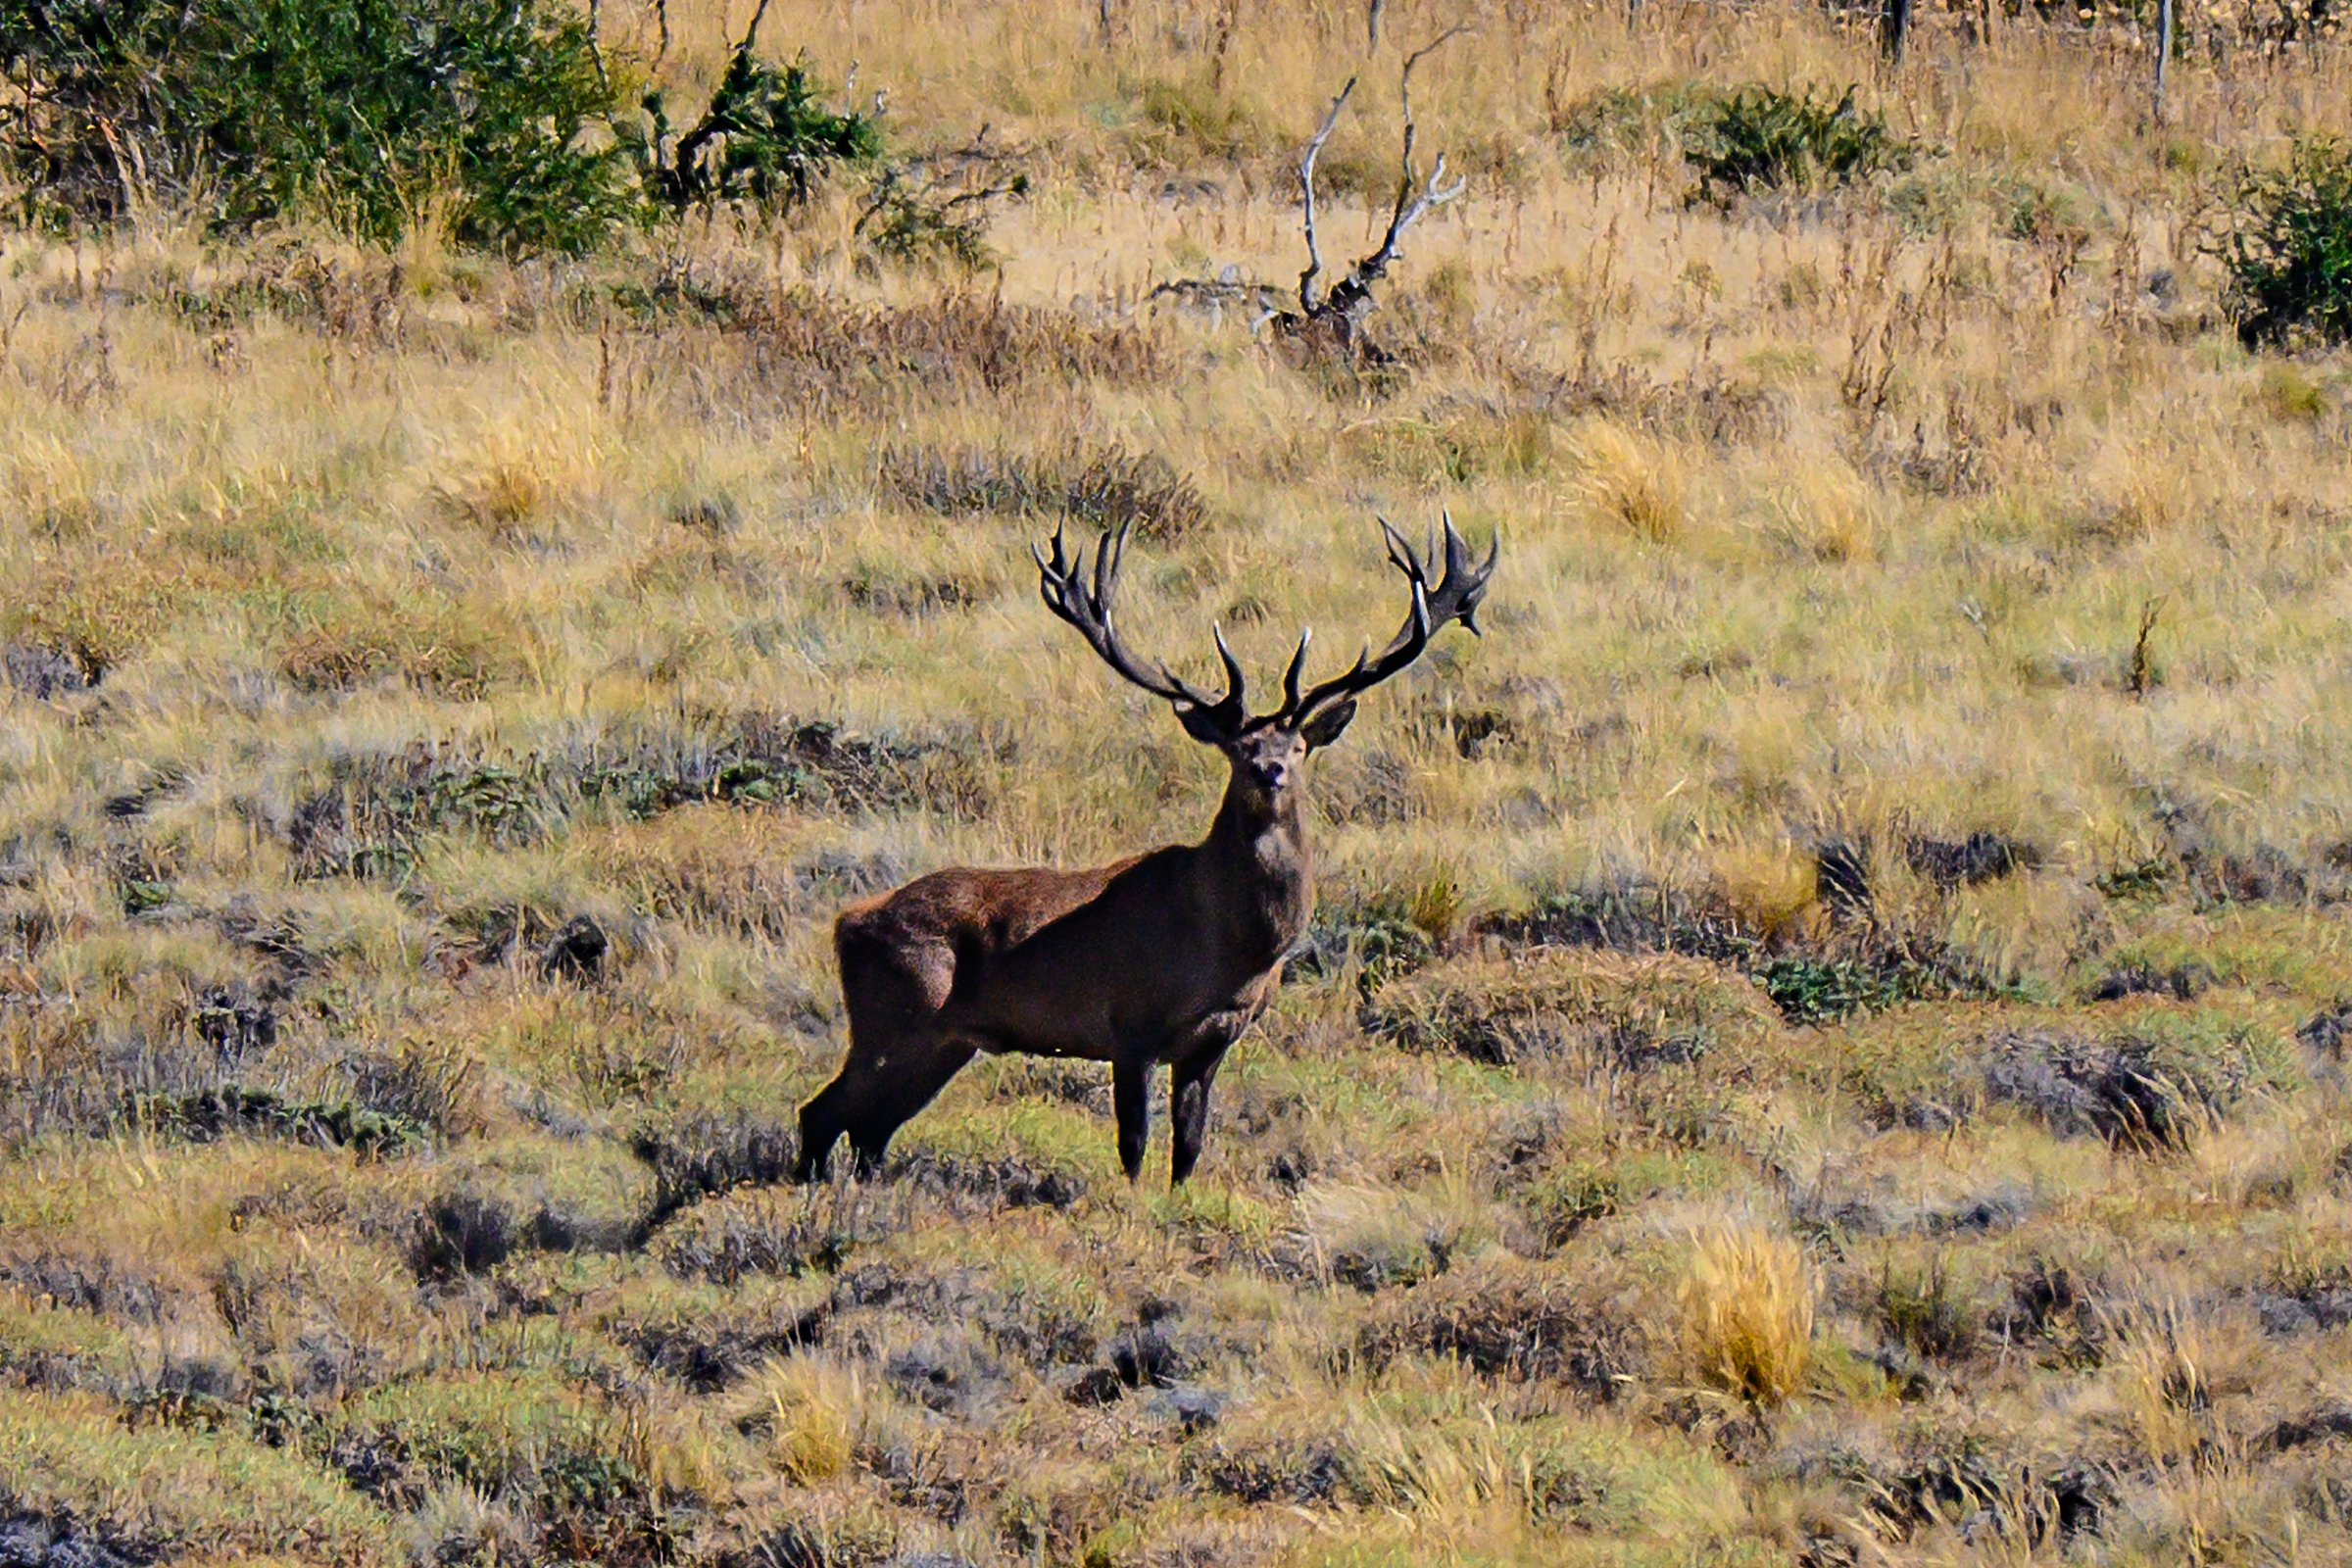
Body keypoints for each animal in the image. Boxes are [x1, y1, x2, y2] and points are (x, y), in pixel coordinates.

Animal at [792, 515, 1497, 1187]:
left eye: (1298, 746)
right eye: (1237, 748)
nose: (1269, 771)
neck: (1231, 953)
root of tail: (847, 922)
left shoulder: (1213, 1043)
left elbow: (1190, 1148)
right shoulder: (1128, 1025)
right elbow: (1134, 1146)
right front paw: (1132, 1208)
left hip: (945, 1041)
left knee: (870, 1130)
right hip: (898, 1013)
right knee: (822, 1113)